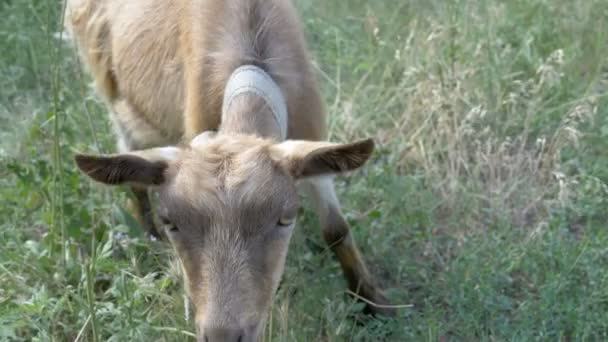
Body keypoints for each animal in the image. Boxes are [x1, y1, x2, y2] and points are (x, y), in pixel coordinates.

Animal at [64, 0, 392, 340]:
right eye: (172, 222)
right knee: (134, 176)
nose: (223, 334)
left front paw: (372, 302)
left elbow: (336, 230)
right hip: (111, 90)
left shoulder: (311, 134)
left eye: (285, 219)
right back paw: (151, 243)